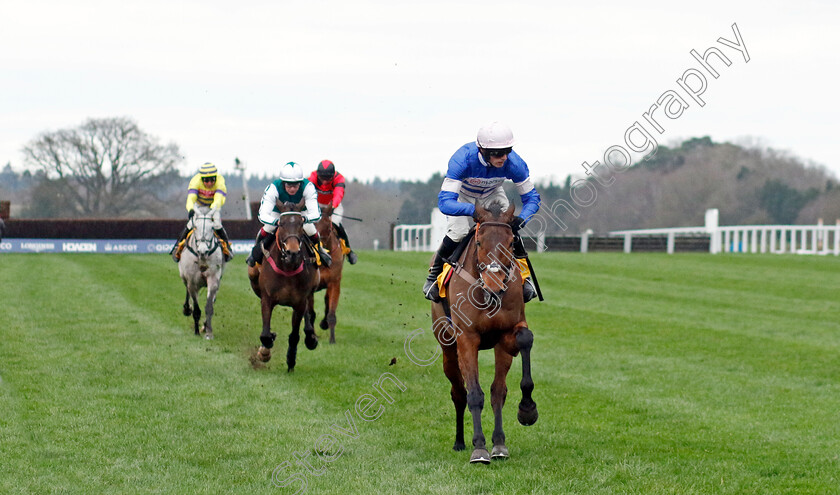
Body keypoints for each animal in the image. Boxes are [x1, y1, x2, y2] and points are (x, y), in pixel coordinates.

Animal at [179, 207, 226, 340]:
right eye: (196, 227)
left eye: (212, 228)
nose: (203, 251)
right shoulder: (192, 282)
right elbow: (196, 309)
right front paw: (196, 331)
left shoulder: (214, 279)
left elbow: (209, 306)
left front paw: (208, 331)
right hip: (184, 277)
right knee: (187, 291)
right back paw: (187, 308)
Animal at [249, 200, 322, 370]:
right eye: (281, 224)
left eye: (301, 224)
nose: (292, 253)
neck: (287, 267)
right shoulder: (267, 298)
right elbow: (265, 334)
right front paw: (265, 350)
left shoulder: (299, 301)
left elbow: (295, 335)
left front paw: (291, 360)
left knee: (308, 313)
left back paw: (310, 337)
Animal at [308, 205, 344, 344]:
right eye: (311, 226)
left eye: (329, 228)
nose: (319, 249)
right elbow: (310, 313)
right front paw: (311, 336)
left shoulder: (334, 282)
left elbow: (331, 313)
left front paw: (332, 340)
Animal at [434, 202, 540, 464]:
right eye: (480, 242)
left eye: (511, 243)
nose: (494, 286)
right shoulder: (467, 338)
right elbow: (474, 394)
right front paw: (479, 448)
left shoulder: (506, 335)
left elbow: (499, 391)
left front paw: (525, 412)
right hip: (447, 349)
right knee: (459, 393)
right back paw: (460, 441)